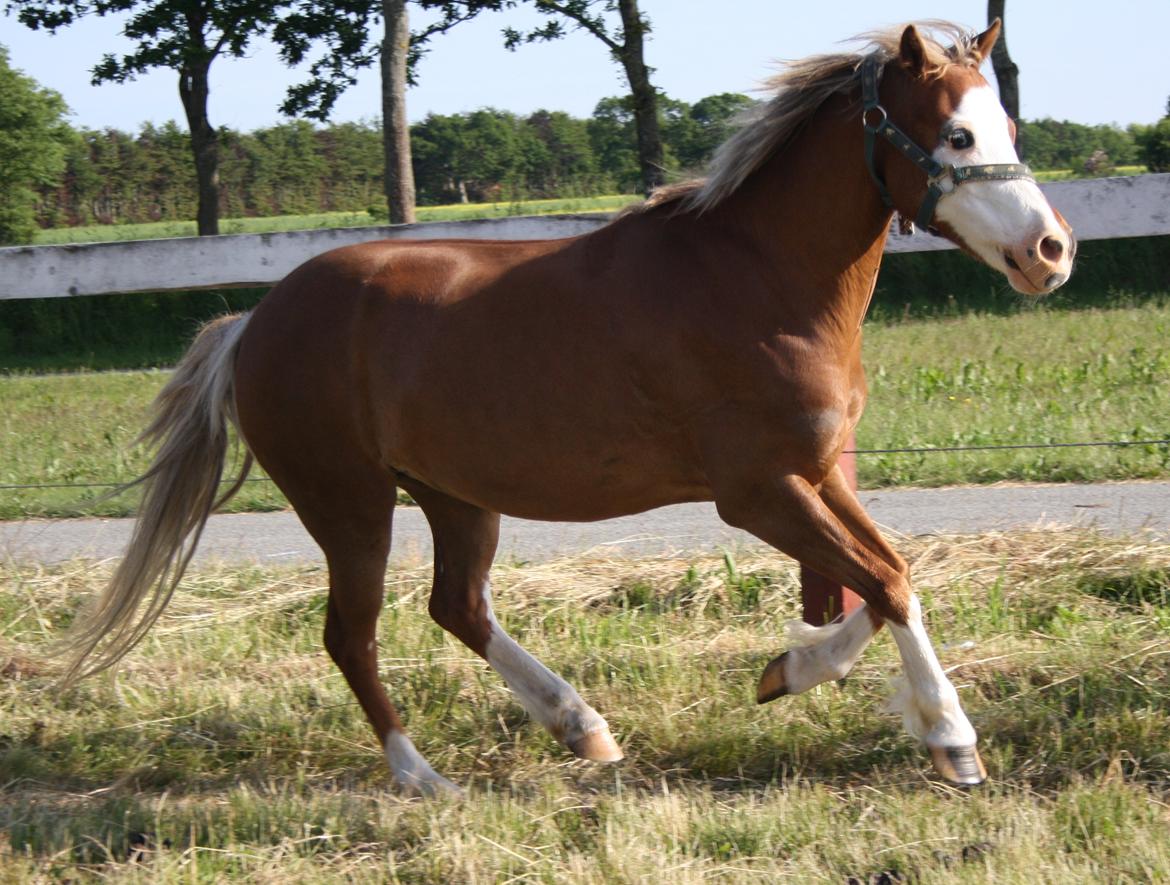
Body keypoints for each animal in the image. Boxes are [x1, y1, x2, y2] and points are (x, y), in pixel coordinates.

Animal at [64, 22, 1071, 796]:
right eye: (956, 137)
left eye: (1006, 123)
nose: (1050, 251)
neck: (759, 278)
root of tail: (255, 320)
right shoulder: (758, 491)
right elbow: (887, 580)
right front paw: (951, 740)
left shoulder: (820, 472)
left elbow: (884, 572)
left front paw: (787, 671)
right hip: (349, 506)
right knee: (352, 636)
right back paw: (424, 777)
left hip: (454, 496)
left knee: (456, 606)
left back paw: (580, 724)